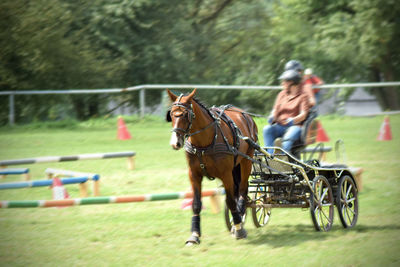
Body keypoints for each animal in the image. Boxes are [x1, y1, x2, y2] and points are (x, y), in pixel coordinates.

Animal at [166, 89, 258, 246]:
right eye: (172, 114)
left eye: (185, 114)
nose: (175, 143)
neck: (204, 142)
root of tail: (245, 114)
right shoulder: (194, 175)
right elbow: (196, 204)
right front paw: (194, 234)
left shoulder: (226, 174)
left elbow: (230, 201)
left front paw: (239, 229)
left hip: (246, 161)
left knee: (242, 189)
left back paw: (239, 218)